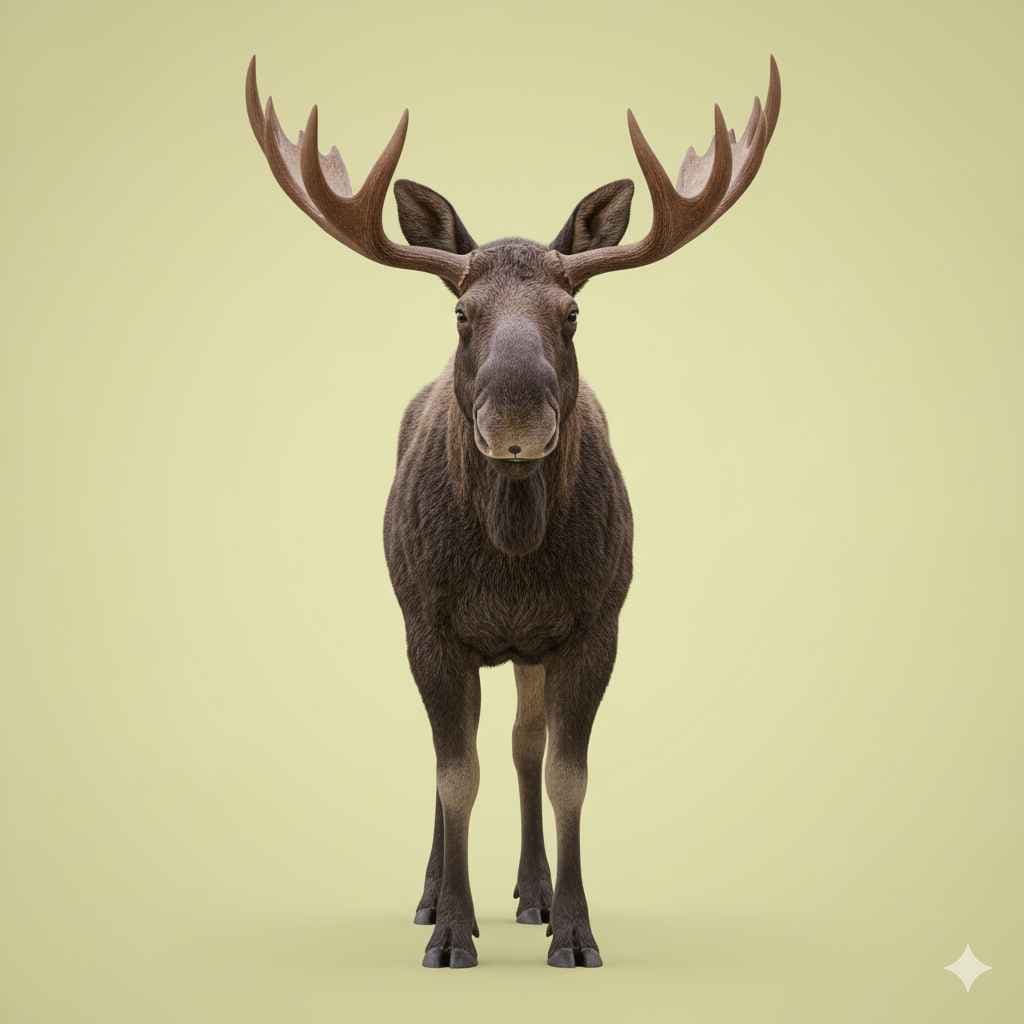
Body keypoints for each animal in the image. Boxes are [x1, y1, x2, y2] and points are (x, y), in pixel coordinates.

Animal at [244, 55, 781, 969]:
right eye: (462, 312)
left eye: (572, 313)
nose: (518, 419)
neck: (512, 553)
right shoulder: (428, 624)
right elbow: (454, 774)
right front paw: (452, 932)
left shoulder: (597, 622)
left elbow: (566, 772)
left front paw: (575, 930)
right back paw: (434, 894)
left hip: (534, 650)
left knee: (525, 744)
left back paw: (531, 892)